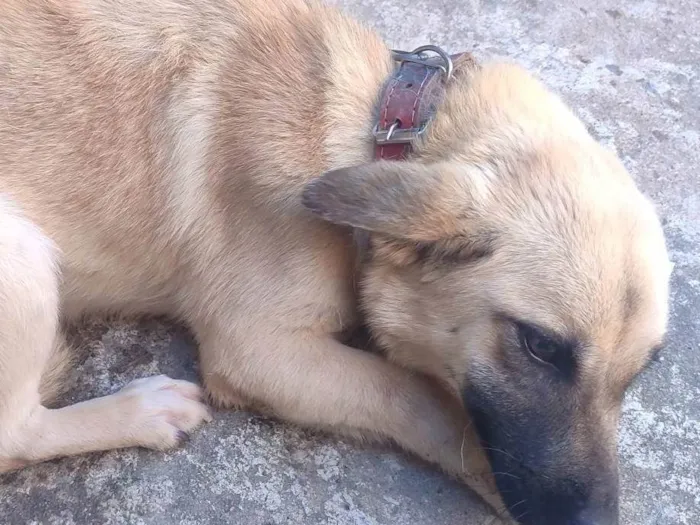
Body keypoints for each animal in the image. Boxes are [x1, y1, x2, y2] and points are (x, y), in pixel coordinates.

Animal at [0, 1, 672, 524]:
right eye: (540, 346)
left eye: (640, 371)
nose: (596, 521)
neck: (384, 129)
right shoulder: (258, 351)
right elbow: (415, 395)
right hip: (25, 258)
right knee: (16, 433)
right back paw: (140, 412)